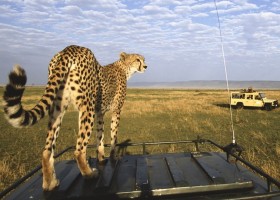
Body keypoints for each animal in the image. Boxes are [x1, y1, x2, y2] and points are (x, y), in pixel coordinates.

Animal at [3, 45, 148, 191]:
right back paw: (89, 174)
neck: (124, 68)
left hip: (58, 107)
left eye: (143, 59)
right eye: (137, 59)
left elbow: (100, 137)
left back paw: (50, 183)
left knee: (47, 150)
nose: (146, 66)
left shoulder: (99, 113)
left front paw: (101, 158)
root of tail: (70, 48)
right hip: (87, 107)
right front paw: (113, 157)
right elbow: (113, 136)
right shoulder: (115, 111)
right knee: (79, 149)